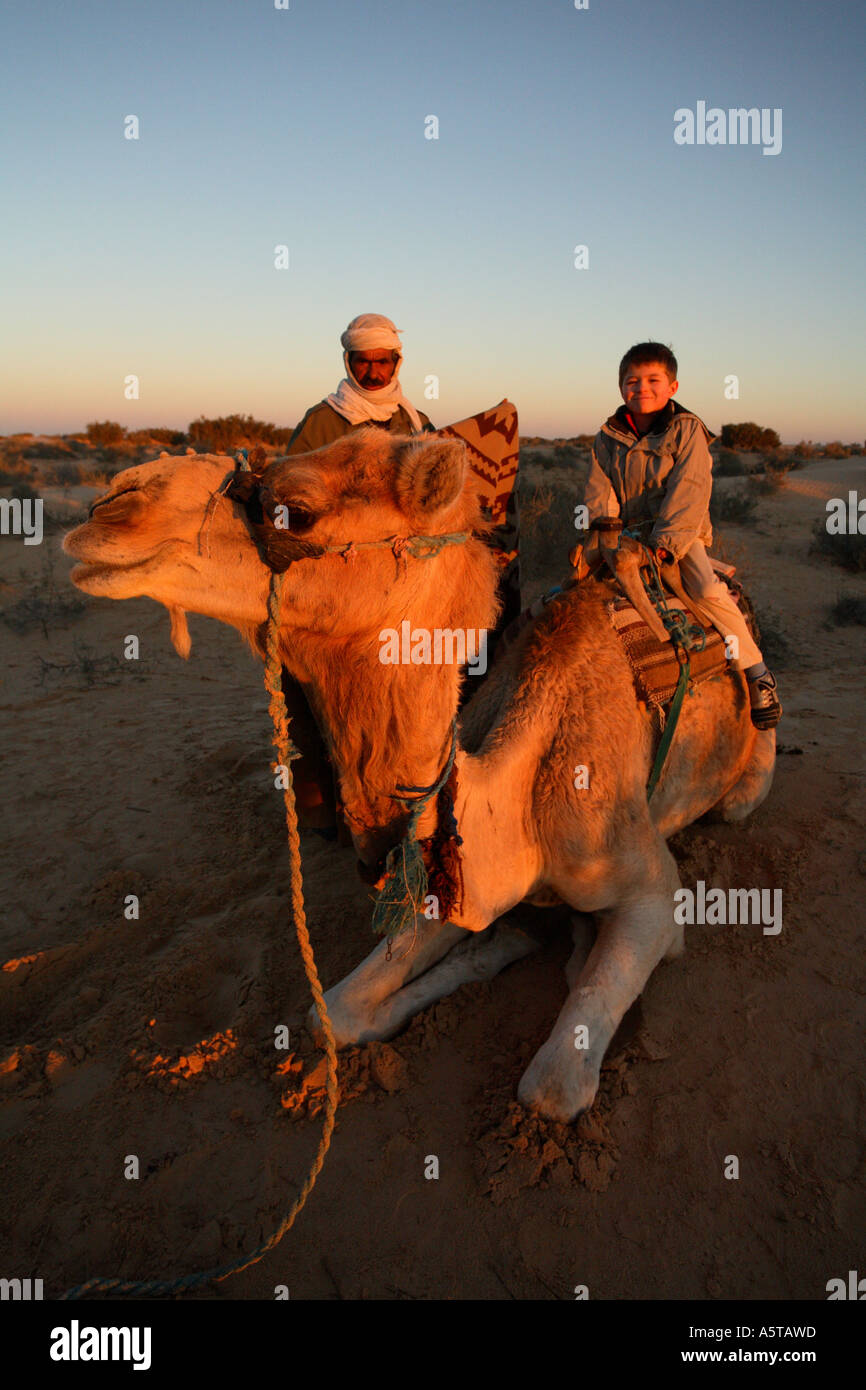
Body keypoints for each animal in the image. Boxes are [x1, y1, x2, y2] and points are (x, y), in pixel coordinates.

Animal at [63, 431, 776, 1122]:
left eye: (294, 507)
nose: (112, 506)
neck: (519, 802)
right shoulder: (448, 872)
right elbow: (336, 1013)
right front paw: (496, 945)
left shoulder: (652, 890)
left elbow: (551, 1090)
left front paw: (558, 948)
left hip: (740, 790)